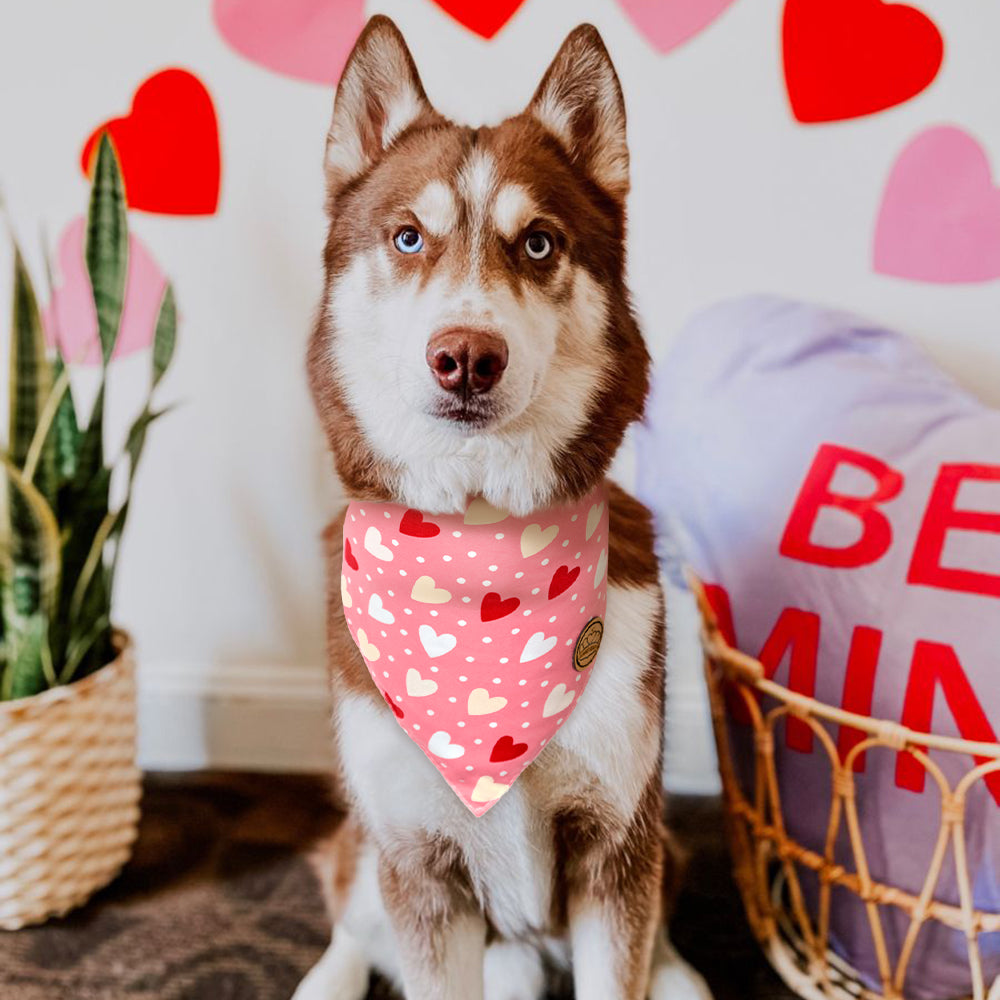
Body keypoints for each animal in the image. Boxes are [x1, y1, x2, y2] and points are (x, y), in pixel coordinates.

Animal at [300, 15, 716, 1000]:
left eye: (537, 244)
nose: (466, 357)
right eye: (407, 238)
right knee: (348, 907)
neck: (482, 546)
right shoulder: (418, 863)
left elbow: (623, 959)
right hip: (375, 850)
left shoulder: (619, 843)